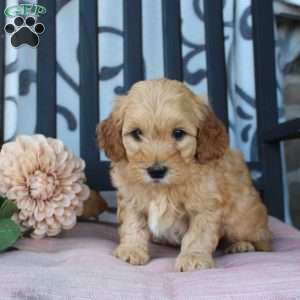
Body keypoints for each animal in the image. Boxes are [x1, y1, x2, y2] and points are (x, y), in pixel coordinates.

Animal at [96, 79, 272, 272]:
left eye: (178, 133)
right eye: (136, 133)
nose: (156, 171)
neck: (162, 189)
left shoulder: (205, 206)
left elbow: (198, 235)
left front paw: (193, 257)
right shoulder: (130, 200)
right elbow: (133, 225)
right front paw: (131, 249)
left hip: (242, 219)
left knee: (262, 239)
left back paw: (241, 245)